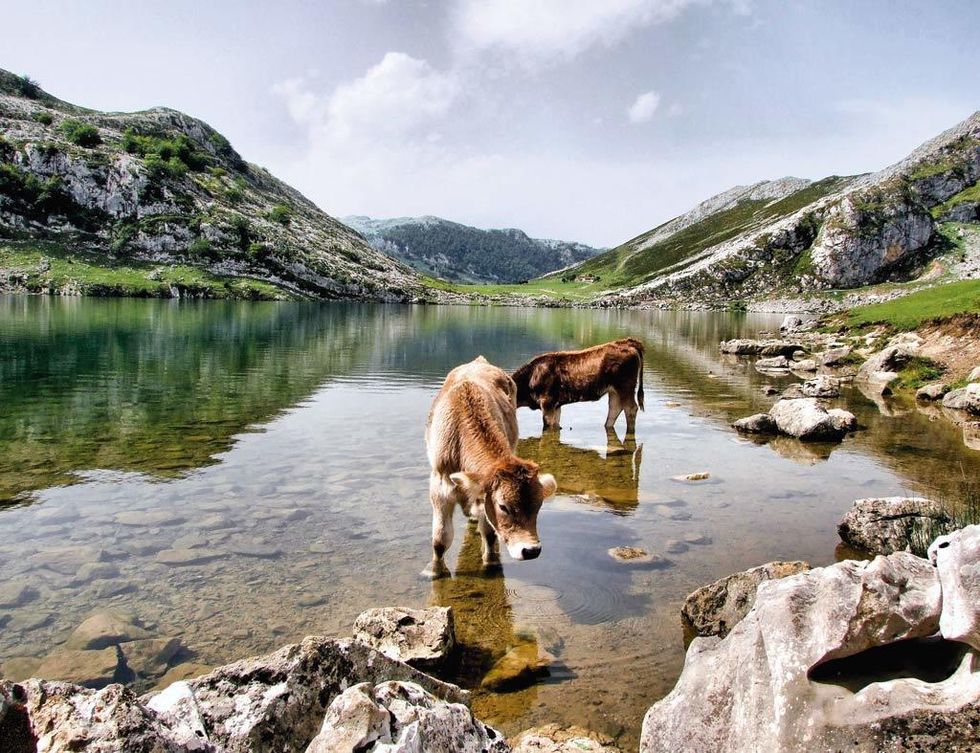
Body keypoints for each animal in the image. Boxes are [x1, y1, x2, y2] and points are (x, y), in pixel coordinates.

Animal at [424, 356, 556, 580]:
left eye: (538, 505)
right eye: (503, 506)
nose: (531, 551)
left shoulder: (483, 493)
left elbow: (489, 532)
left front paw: (491, 561)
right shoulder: (440, 487)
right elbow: (440, 538)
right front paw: (434, 571)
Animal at [510, 338, 648, 432]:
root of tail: (626, 342)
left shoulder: (547, 402)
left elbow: (547, 426)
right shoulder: (556, 405)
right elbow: (556, 425)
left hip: (625, 386)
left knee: (630, 408)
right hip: (614, 390)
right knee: (615, 408)